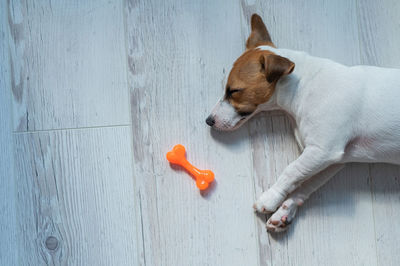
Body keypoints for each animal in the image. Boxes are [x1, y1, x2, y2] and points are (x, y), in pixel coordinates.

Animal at [206, 13, 400, 232]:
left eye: (234, 91)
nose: (208, 120)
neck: (304, 86)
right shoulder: (333, 160)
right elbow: (305, 184)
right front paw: (284, 210)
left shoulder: (323, 150)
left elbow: (291, 171)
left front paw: (269, 198)